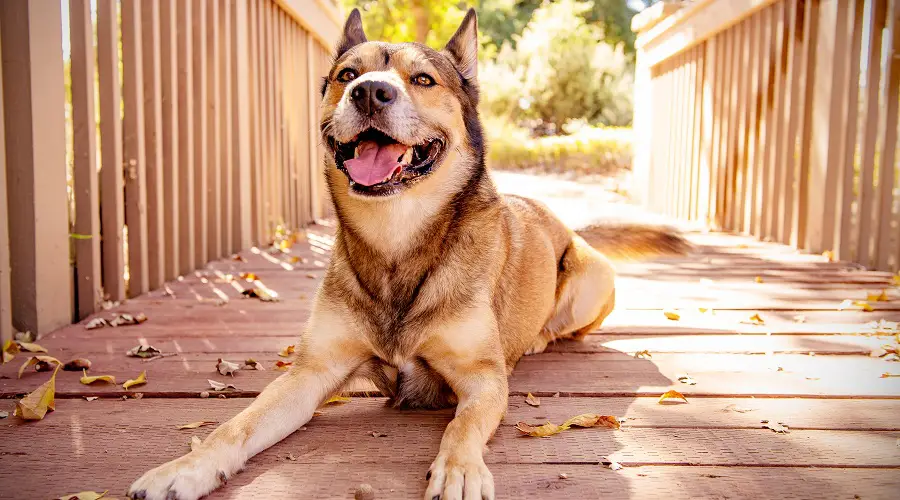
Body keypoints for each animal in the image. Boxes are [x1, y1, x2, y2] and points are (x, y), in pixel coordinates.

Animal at [128, 8, 688, 500]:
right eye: (347, 74)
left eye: (422, 79)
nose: (370, 92)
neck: (397, 240)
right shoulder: (310, 375)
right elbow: (238, 424)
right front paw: (186, 468)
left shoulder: (484, 380)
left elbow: (461, 427)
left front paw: (459, 470)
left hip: (593, 279)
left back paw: (537, 339)